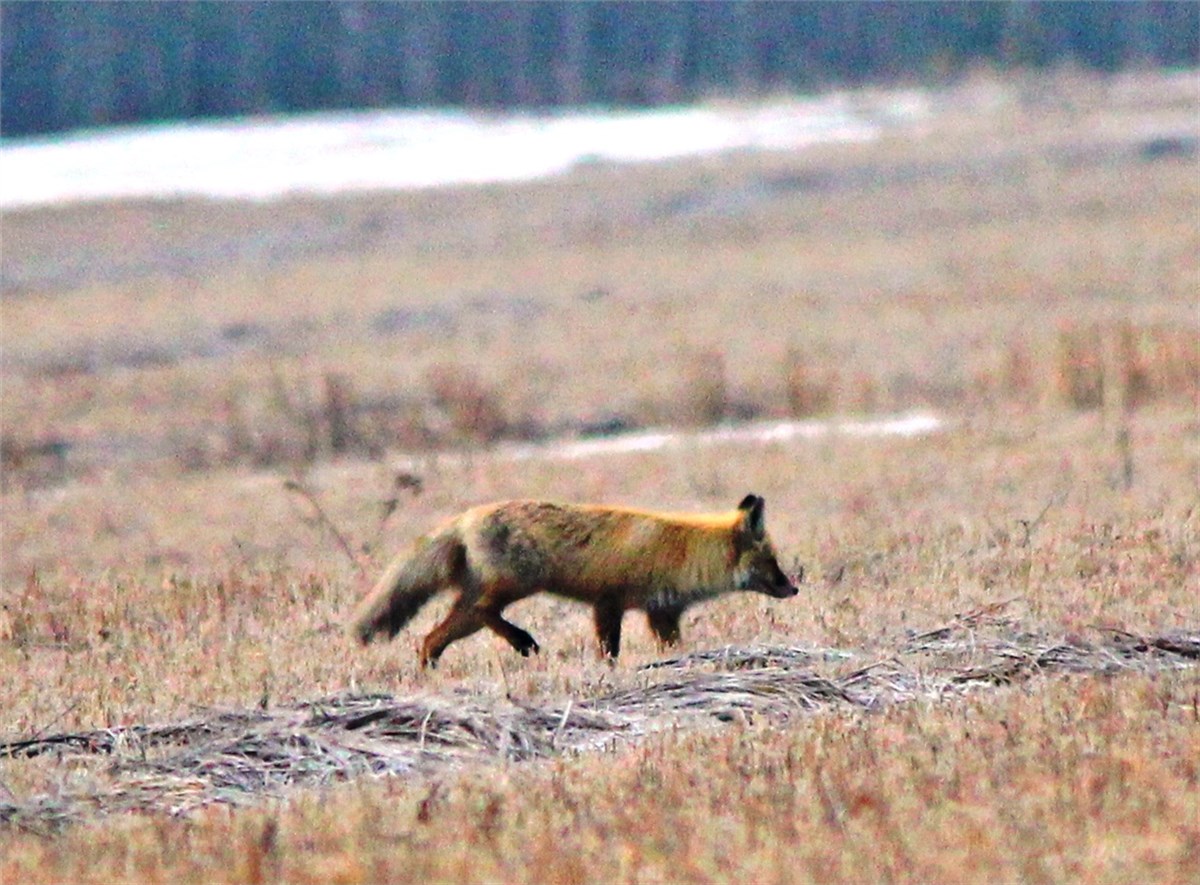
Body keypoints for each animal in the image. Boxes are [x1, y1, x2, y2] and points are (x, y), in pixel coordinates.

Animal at [350, 494, 796, 666]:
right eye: (772, 561)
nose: (794, 587)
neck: (685, 551)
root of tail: (467, 515)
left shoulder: (661, 613)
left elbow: (670, 645)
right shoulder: (609, 602)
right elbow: (609, 649)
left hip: (470, 612)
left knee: (431, 639)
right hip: (514, 585)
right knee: (484, 612)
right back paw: (523, 642)